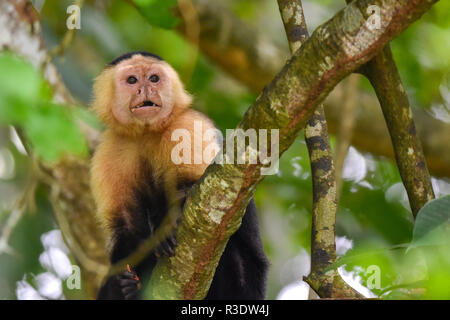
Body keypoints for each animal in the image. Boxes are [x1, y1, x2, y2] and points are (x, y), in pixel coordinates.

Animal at [89, 52, 268, 300]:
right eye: (132, 80)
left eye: (154, 78)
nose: (145, 89)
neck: (146, 133)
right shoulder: (109, 151)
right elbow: (128, 228)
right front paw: (120, 286)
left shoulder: (189, 125)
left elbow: (200, 196)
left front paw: (167, 228)